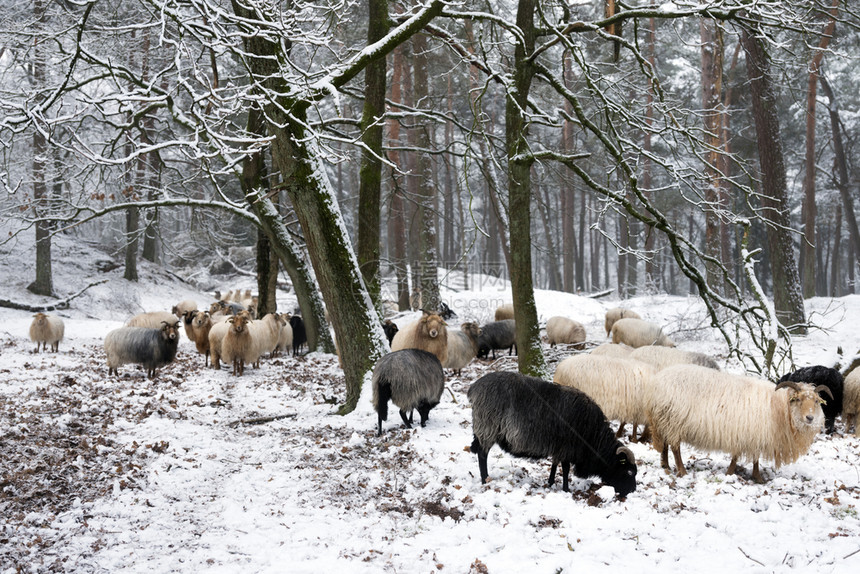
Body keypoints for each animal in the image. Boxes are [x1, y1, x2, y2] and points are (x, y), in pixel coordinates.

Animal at [466, 374, 636, 500]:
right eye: (628, 472)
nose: (632, 491)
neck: (593, 437)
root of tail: (474, 388)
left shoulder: (558, 447)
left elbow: (554, 464)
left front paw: (551, 482)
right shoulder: (567, 447)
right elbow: (565, 468)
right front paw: (566, 489)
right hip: (487, 427)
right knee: (482, 454)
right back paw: (485, 479)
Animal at [648, 366, 828, 484]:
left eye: (816, 401)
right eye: (797, 399)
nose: (810, 418)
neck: (778, 408)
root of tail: (658, 381)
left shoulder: (752, 435)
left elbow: (754, 458)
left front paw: (756, 477)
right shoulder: (748, 433)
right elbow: (740, 456)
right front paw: (733, 473)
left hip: (666, 419)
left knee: (665, 444)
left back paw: (665, 465)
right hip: (674, 420)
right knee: (675, 447)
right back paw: (682, 471)